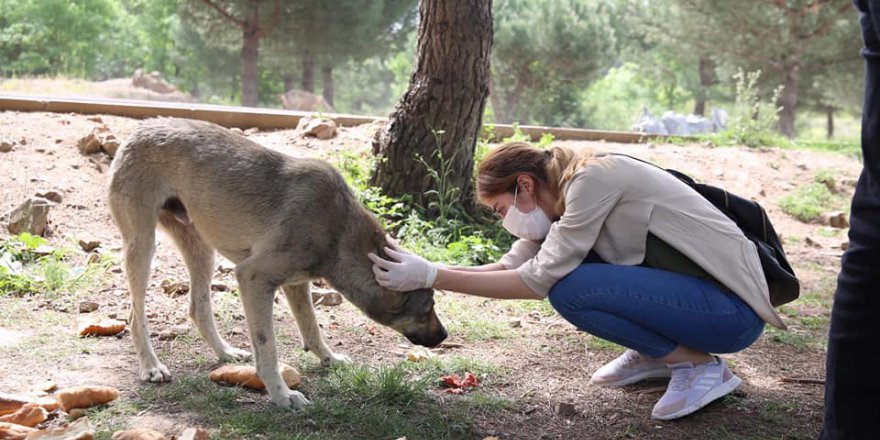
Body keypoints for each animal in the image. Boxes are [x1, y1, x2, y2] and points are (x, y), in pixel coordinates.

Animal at [108, 117, 446, 410]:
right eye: (427, 308)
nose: (444, 336)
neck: (338, 229)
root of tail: (140, 128)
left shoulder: (296, 284)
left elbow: (312, 330)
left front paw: (330, 360)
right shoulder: (254, 278)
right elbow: (268, 348)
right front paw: (282, 395)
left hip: (201, 248)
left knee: (198, 308)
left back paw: (225, 352)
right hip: (143, 246)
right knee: (135, 315)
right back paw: (151, 366)